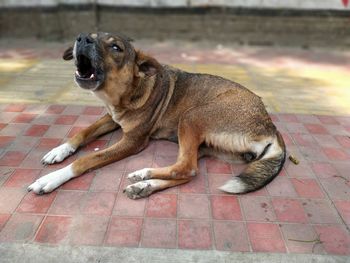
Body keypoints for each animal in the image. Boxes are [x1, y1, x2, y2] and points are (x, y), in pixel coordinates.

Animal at [27, 32, 284, 199]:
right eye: (90, 35)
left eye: (116, 47)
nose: (81, 39)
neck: (126, 93)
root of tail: (271, 127)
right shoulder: (111, 118)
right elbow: (82, 132)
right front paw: (59, 151)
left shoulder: (133, 141)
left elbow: (87, 159)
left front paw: (51, 178)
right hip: (203, 145)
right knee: (189, 170)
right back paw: (145, 186)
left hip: (191, 116)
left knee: (186, 168)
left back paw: (144, 174)